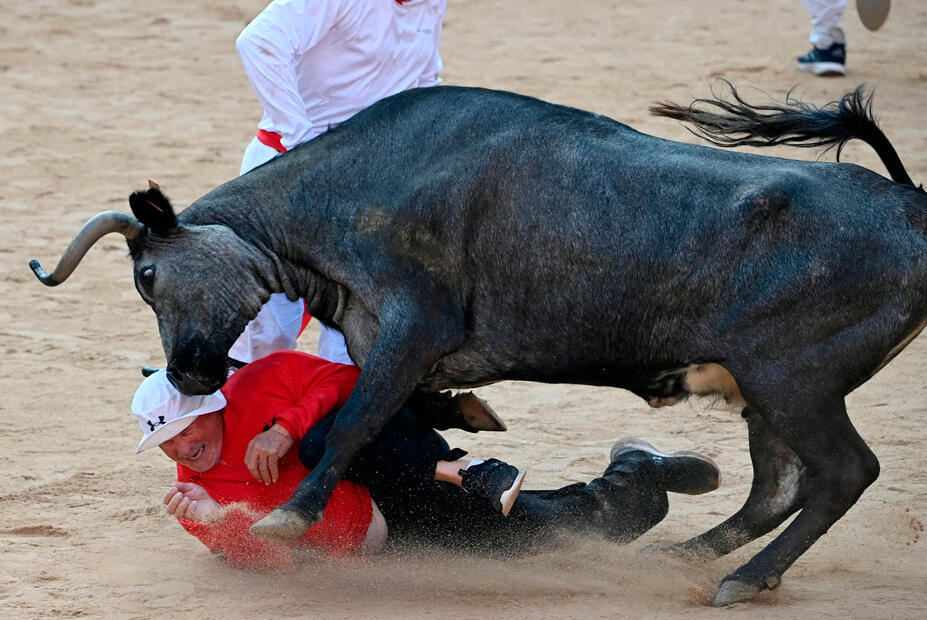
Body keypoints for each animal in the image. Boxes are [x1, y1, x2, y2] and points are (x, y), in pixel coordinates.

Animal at [30, 85, 927, 604]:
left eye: (147, 273)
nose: (186, 374)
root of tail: (910, 209)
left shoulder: (409, 327)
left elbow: (344, 430)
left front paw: (286, 514)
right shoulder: (383, 345)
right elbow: (366, 422)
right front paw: (469, 422)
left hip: (792, 380)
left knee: (842, 472)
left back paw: (740, 576)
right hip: (766, 391)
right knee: (778, 486)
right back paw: (684, 557)